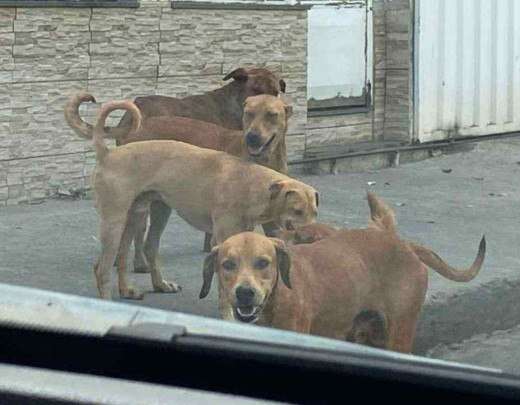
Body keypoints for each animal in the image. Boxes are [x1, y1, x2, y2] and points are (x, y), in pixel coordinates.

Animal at [90, 99, 316, 298]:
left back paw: (144, 287)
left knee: (134, 251)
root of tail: (107, 154)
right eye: (297, 211)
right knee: (102, 268)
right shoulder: (223, 241)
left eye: (314, 212)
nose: (313, 235)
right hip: (115, 223)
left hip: (145, 213)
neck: (248, 180)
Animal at [201, 191, 486, 352]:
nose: (245, 293)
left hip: (399, 331)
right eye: (227, 264)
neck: (276, 296)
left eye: (263, 262)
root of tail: (404, 244)